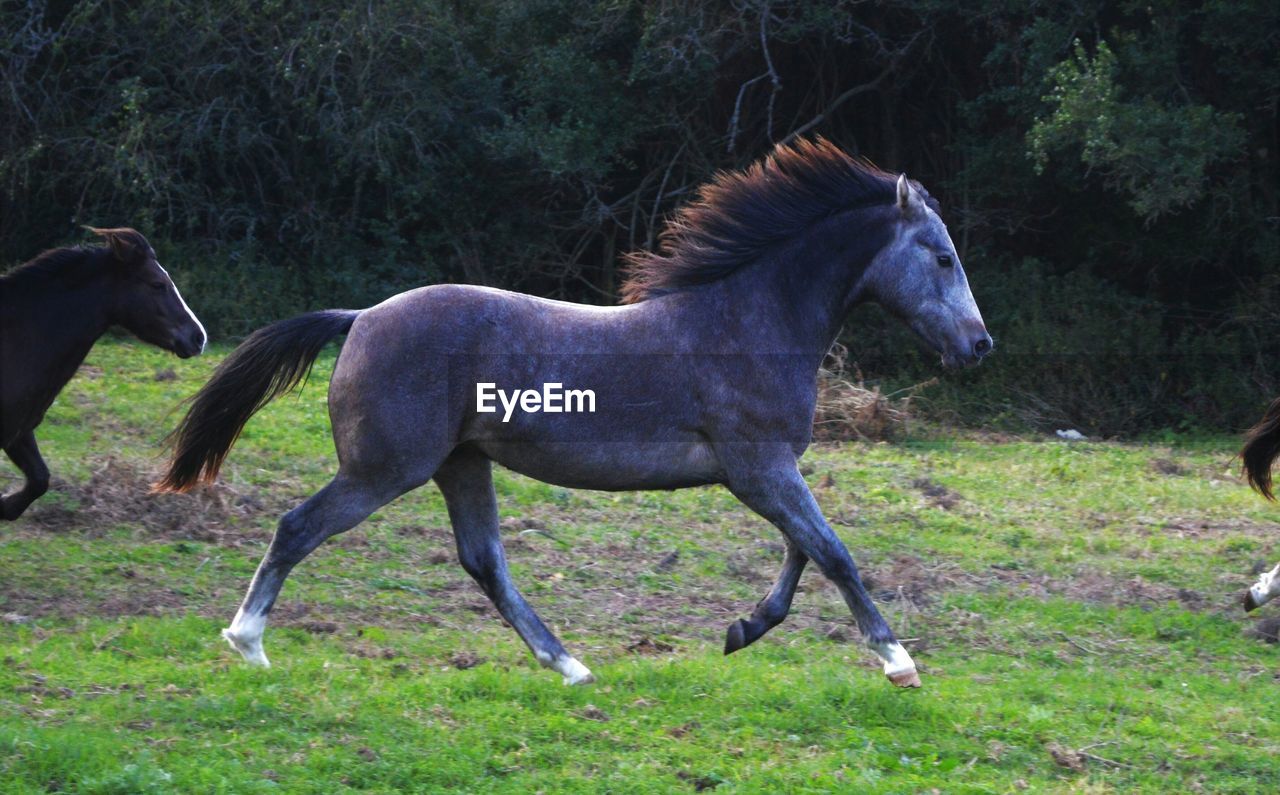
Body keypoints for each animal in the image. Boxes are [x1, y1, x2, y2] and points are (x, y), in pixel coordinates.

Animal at [0, 226, 204, 517]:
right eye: (157, 284)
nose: (198, 337)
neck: (16, 339)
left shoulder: (19, 430)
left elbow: (40, 478)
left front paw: (6, 505)